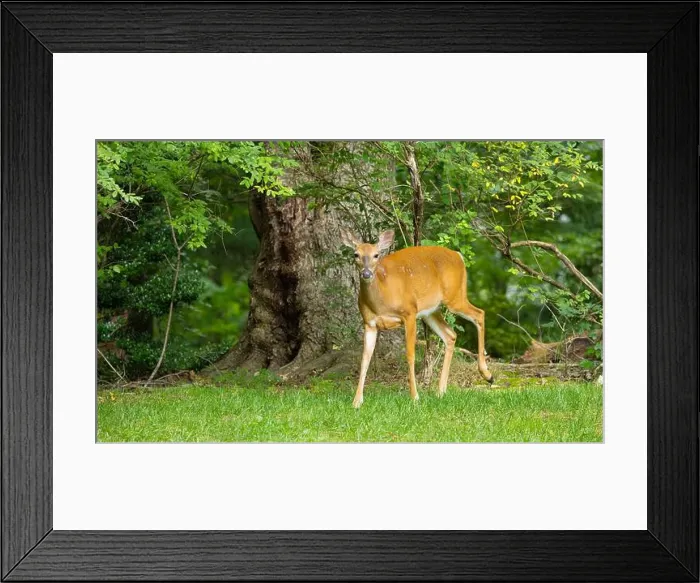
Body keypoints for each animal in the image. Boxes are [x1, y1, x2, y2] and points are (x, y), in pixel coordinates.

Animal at [342, 229, 493, 408]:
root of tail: (458, 256)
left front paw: (415, 397)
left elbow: (410, 355)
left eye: (376, 255)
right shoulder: (369, 323)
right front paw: (356, 401)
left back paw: (487, 374)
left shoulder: (409, 313)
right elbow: (365, 359)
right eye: (356, 254)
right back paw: (441, 391)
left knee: (479, 313)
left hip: (455, 296)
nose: (366, 273)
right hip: (431, 311)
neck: (382, 298)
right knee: (450, 334)